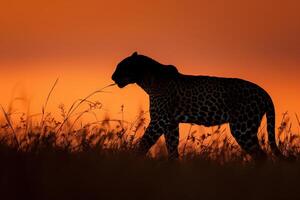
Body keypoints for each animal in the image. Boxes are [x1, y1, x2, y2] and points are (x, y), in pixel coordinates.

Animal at [111, 52, 282, 160]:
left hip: (243, 128)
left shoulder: (160, 120)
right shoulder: (171, 123)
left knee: (261, 156)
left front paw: (131, 160)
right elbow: (172, 148)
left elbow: (144, 143)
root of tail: (264, 93)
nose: (112, 77)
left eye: (121, 67)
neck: (147, 80)